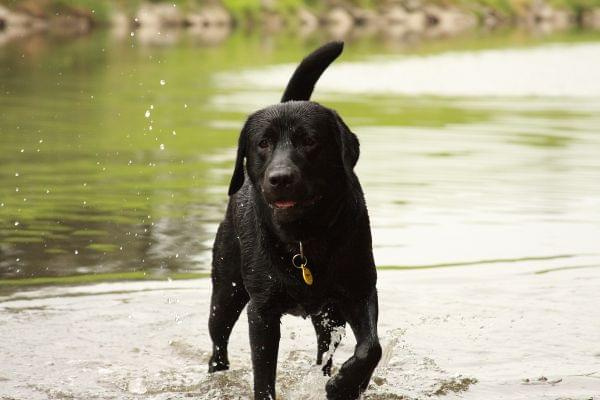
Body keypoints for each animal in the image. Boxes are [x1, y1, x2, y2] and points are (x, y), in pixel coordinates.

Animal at [209, 42, 382, 398]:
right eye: (263, 143)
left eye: (309, 140)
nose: (280, 178)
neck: (303, 238)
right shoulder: (261, 311)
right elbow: (263, 375)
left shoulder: (360, 291)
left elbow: (371, 348)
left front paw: (345, 384)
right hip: (225, 292)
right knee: (218, 344)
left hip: (328, 314)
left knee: (324, 350)